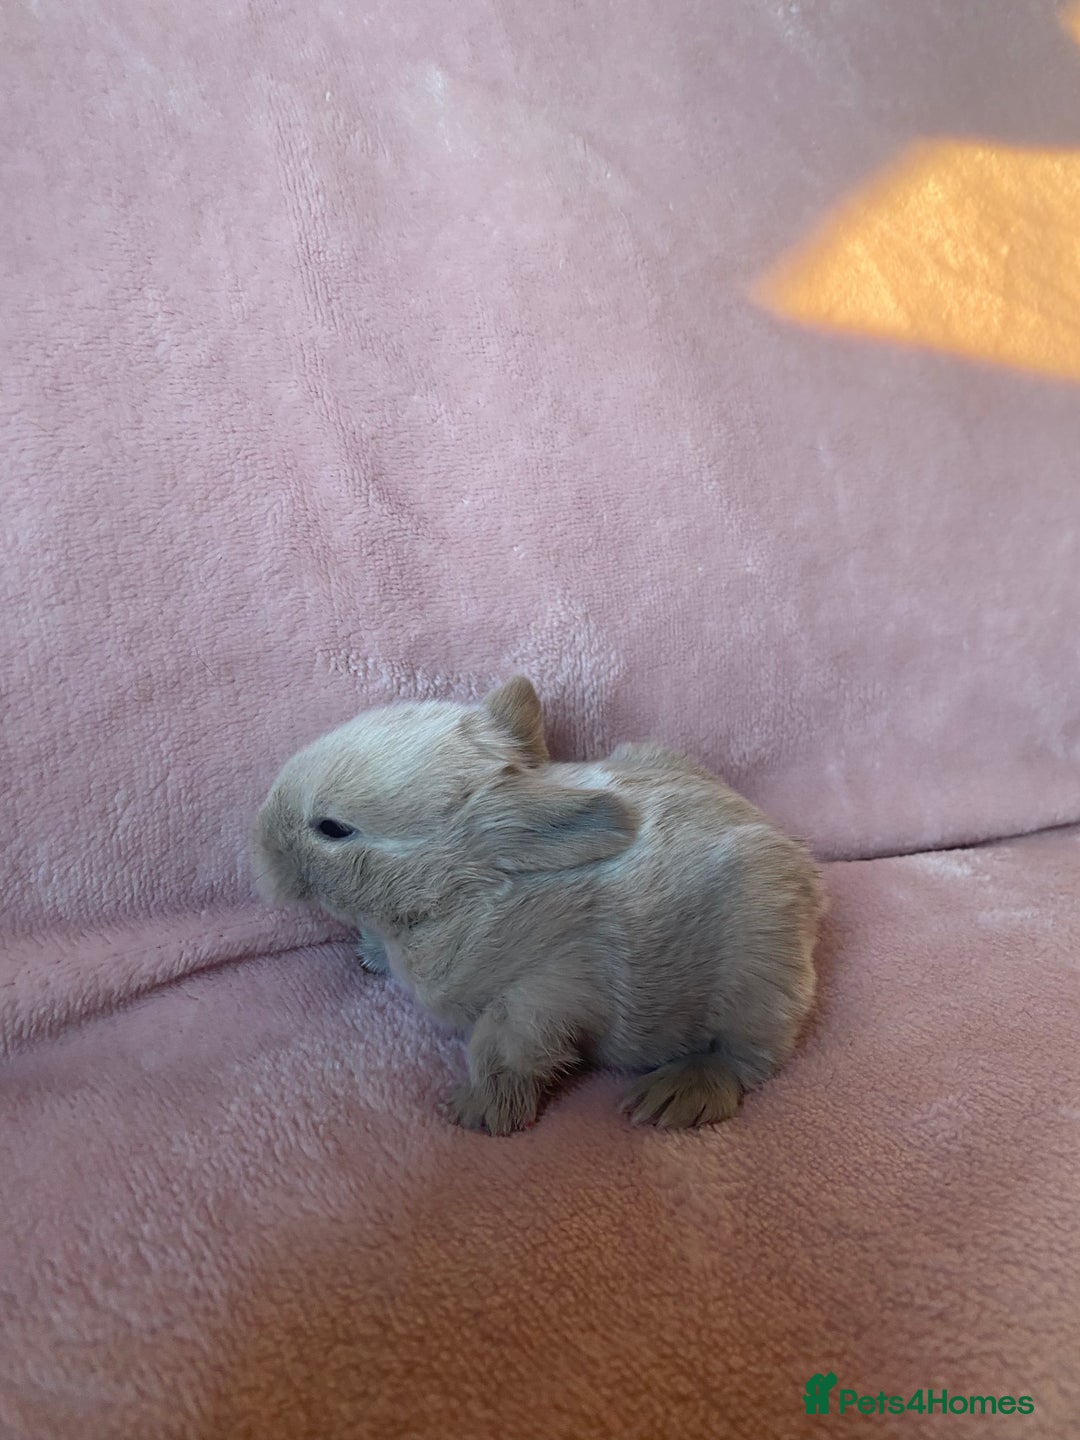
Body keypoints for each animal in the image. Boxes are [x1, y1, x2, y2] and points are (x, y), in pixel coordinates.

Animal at [252, 676, 824, 1134]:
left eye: (332, 828)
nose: (257, 845)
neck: (456, 892)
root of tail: (811, 891)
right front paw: (368, 955)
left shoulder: (541, 996)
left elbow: (500, 1053)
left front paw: (477, 1114)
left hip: (759, 968)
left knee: (747, 1059)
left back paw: (676, 1094)